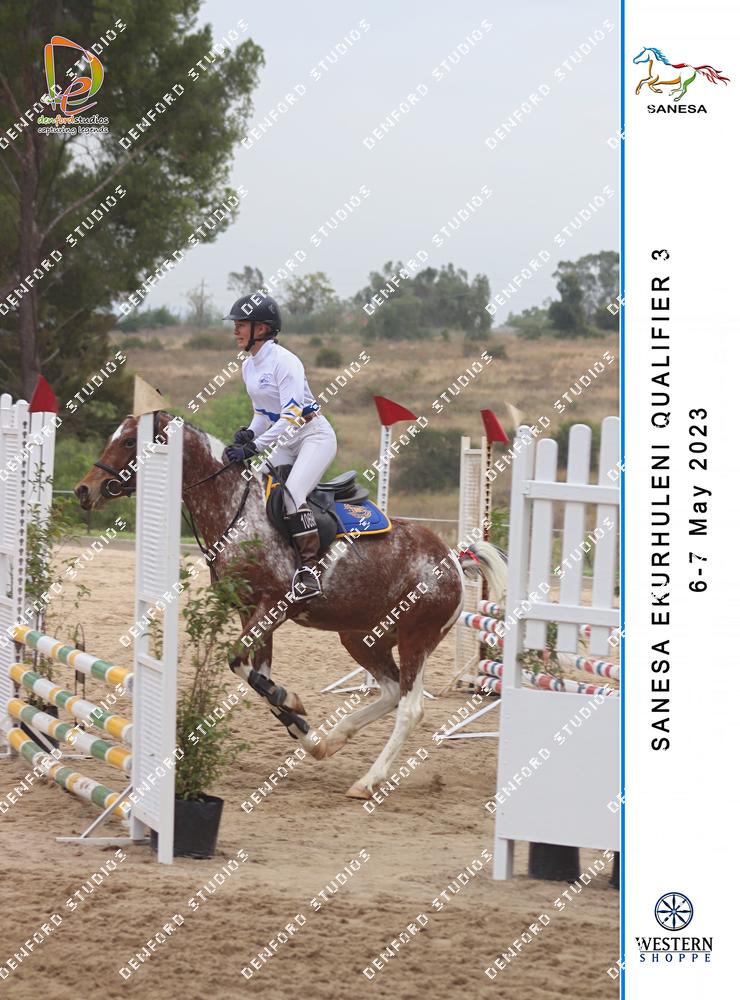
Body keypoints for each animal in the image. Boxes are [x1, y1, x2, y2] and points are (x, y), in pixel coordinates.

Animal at [75, 413, 507, 799]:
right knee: (389, 691)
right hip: (360, 637)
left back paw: (368, 781)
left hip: (416, 635)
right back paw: (333, 740)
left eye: (129, 441)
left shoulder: (274, 606)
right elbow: (256, 676)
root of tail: (451, 557)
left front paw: (292, 703)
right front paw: (302, 726)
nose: (84, 490)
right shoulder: (250, 612)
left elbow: (240, 663)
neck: (234, 511)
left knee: (410, 707)